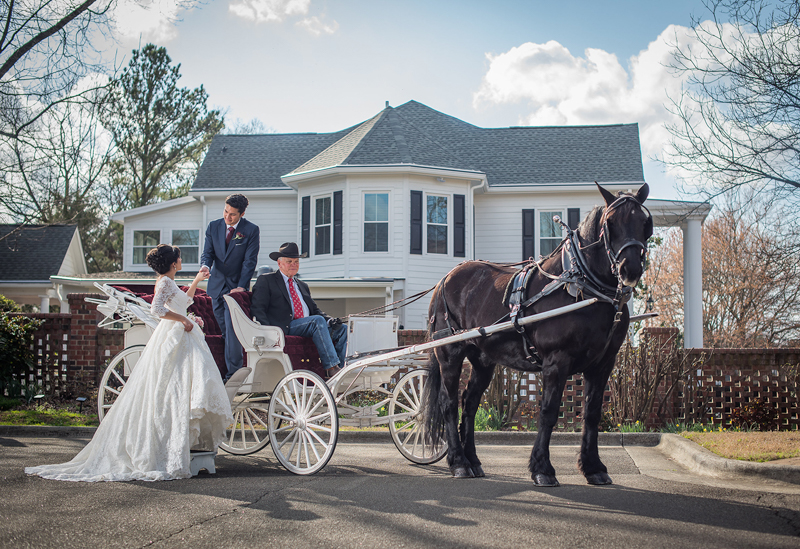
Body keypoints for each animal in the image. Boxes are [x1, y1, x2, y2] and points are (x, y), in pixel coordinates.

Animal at [422, 182, 652, 486]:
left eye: (645, 223)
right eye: (610, 223)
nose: (630, 269)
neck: (583, 287)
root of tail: (444, 280)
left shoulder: (603, 363)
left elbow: (592, 413)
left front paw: (593, 467)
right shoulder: (557, 360)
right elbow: (549, 411)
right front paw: (542, 468)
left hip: (483, 360)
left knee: (469, 404)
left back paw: (473, 461)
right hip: (449, 353)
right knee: (449, 403)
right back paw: (458, 462)